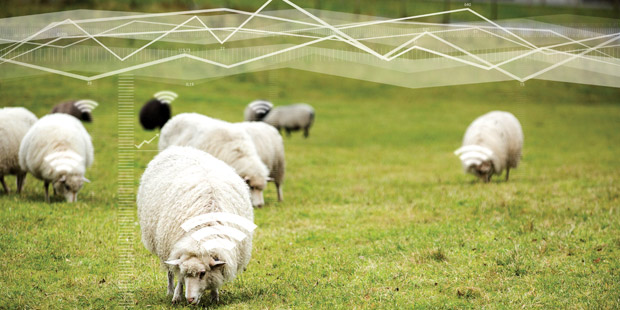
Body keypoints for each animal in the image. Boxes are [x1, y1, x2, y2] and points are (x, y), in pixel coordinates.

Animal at [138, 146, 254, 306]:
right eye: (187, 274)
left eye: (203, 273)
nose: (190, 299)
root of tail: (179, 148)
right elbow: (179, 277)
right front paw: (177, 296)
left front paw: (214, 296)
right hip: (164, 246)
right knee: (169, 271)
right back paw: (170, 291)